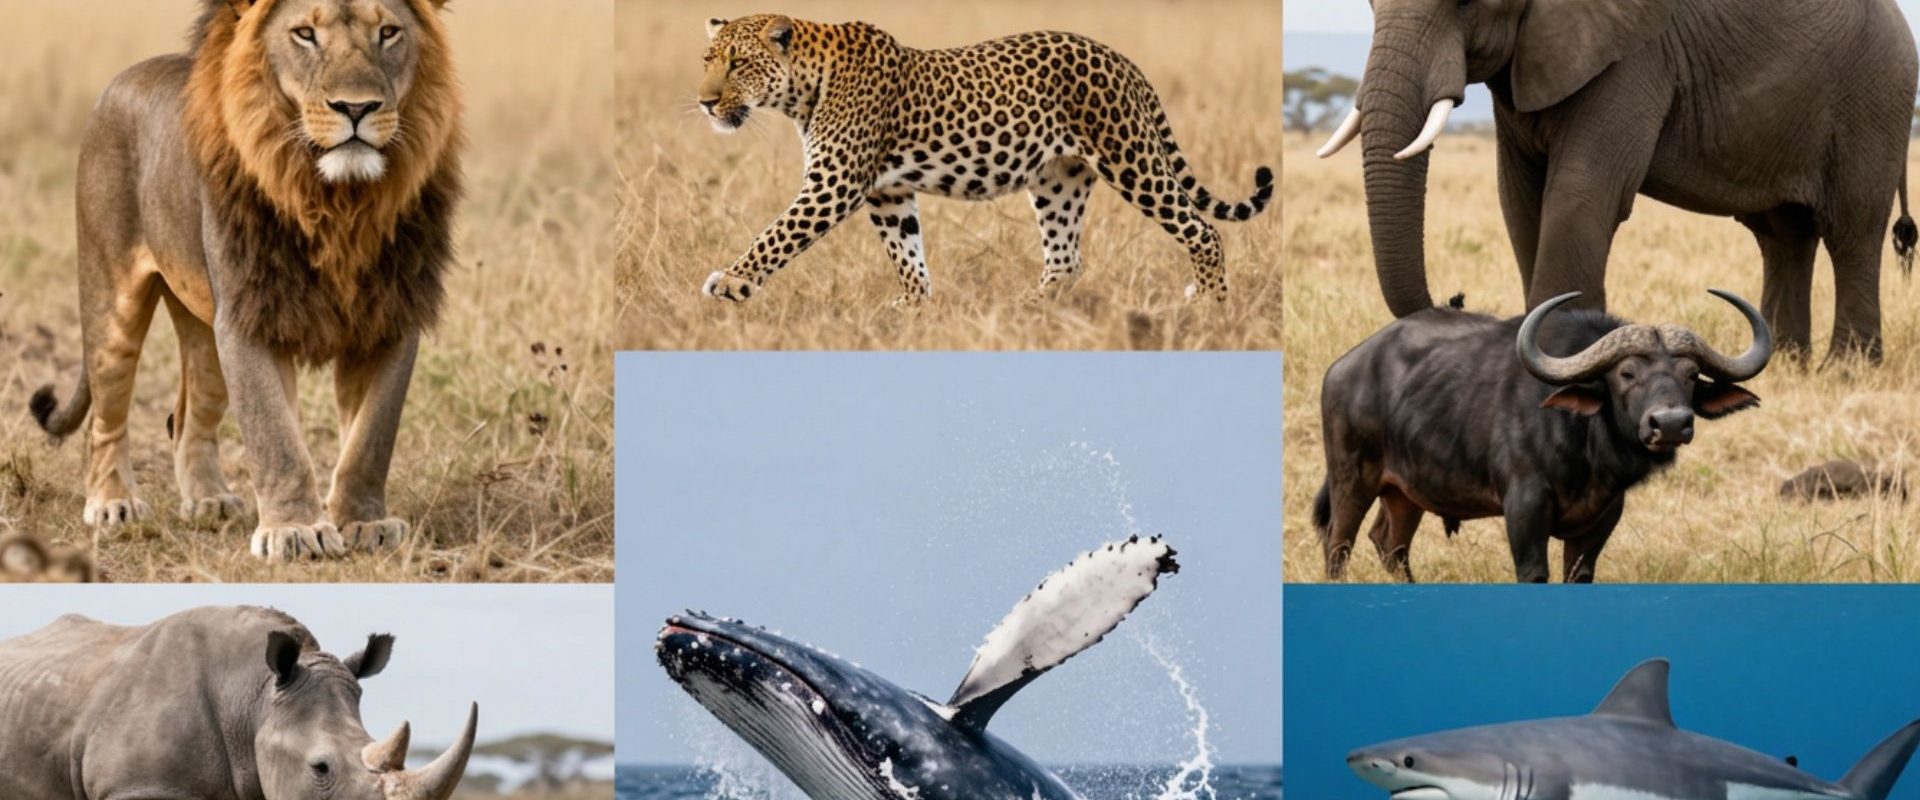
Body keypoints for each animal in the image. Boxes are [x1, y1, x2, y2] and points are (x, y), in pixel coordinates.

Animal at [27, 0, 463, 561]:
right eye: (305, 35)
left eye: (388, 32)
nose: (357, 108)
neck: (340, 202)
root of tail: (121, 80)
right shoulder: (250, 317)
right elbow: (275, 436)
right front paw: (295, 531)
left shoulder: (390, 317)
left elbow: (370, 437)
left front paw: (364, 522)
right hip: (111, 302)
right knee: (105, 414)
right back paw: (112, 503)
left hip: (204, 329)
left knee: (189, 416)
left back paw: (209, 500)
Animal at [1318, 0, 1919, 362]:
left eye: (1468, 1)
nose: (1457, 298)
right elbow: (1521, 202)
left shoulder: (1635, 55)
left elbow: (1579, 195)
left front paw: (1555, 362)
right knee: (1783, 237)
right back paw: (1787, 363)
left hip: (1875, 96)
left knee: (1851, 233)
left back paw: (1847, 369)